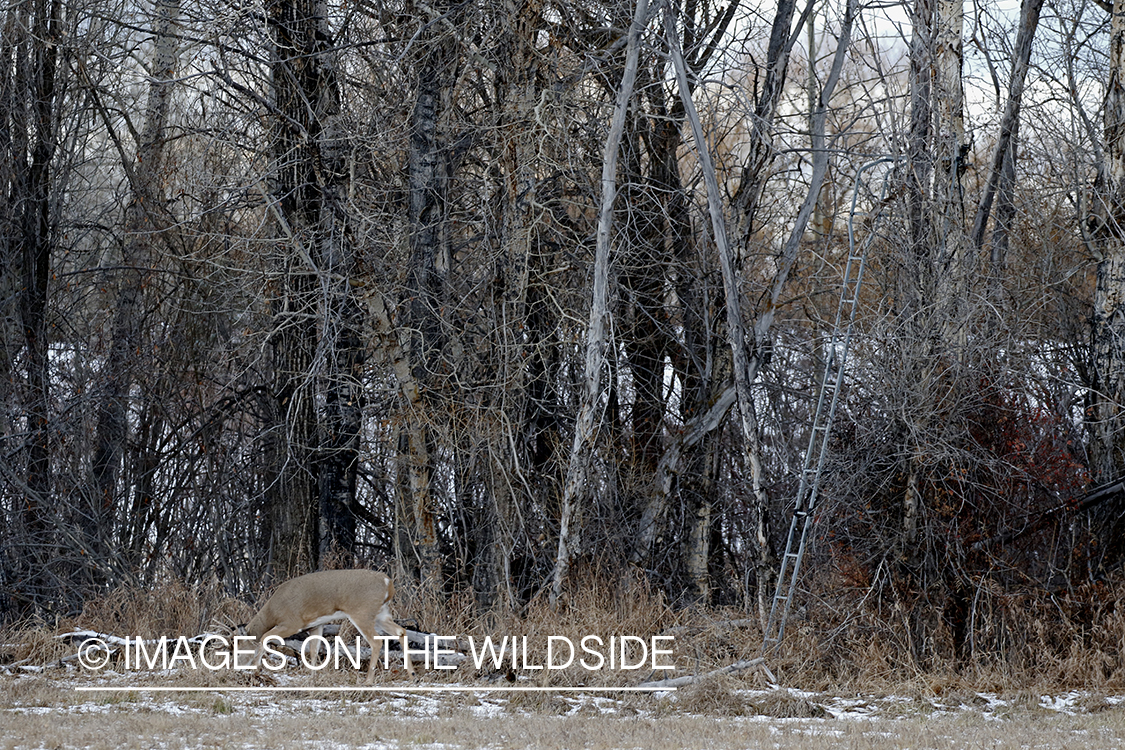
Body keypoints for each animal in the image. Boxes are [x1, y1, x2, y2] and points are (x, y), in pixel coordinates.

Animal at [244, 571, 416, 683]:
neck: (272, 612)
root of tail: (388, 583)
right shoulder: (316, 625)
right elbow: (314, 650)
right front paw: (312, 677)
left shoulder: (292, 622)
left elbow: (265, 636)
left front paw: (256, 669)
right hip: (381, 613)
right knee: (401, 631)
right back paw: (412, 675)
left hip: (362, 612)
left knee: (376, 641)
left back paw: (368, 680)